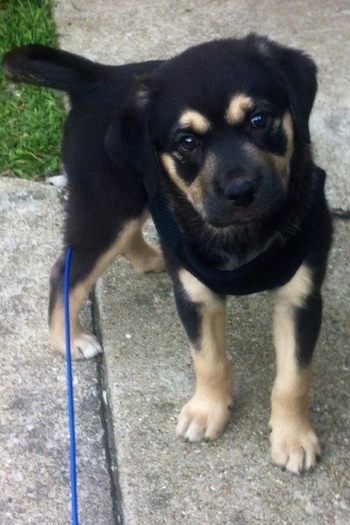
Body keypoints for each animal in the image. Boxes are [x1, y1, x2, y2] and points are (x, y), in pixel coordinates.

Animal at [2, 34, 330, 472]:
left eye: (259, 120)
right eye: (186, 142)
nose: (241, 191)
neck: (241, 234)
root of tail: (99, 77)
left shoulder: (300, 297)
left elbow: (294, 378)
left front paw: (293, 437)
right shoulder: (195, 295)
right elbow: (208, 360)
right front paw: (208, 412)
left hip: (131, 198)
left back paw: (152, 259)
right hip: (108, 206)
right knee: (65, 271)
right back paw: (68, 340)